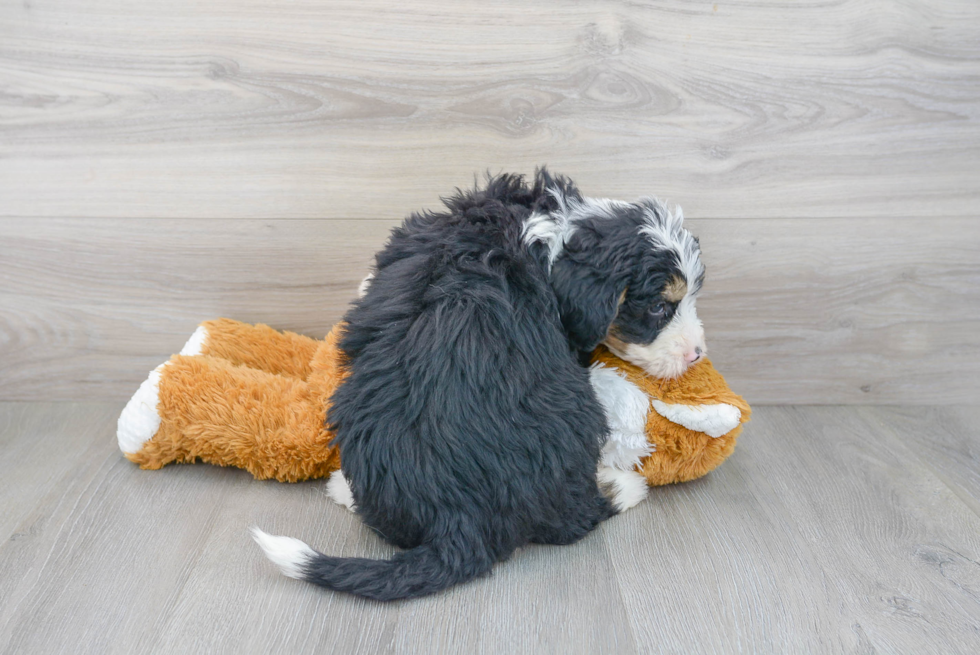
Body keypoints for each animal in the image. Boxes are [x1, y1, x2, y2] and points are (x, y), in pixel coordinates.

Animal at [255, 172, 704, 604]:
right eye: (658, 308)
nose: (697, 354)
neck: (554, 226)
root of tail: (456, 516)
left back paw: (342, 489)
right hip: (578, 414)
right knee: (570, 518)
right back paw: (625, 486)